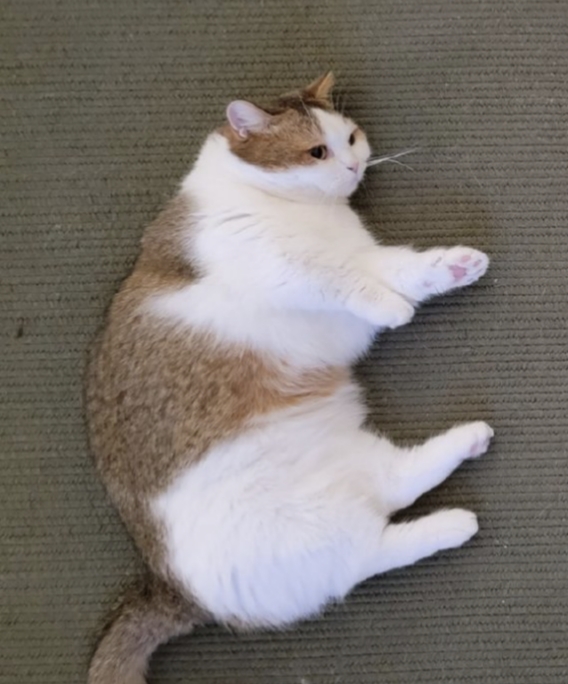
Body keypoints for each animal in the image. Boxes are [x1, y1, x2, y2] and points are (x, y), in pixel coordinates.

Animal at [85, 72, 493, 684]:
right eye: (317, 151)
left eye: (351, 137)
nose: (353, 165)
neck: (305, 214)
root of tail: (177, 592)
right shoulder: (281, 267)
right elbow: (338, 281)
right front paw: (393, 308)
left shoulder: (362, 259)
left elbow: (399, 268)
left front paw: (453, 266)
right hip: (312, 532)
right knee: (369, 552)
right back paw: (455, 520)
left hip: (349, 480)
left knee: (395, 490)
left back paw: (468, 448)